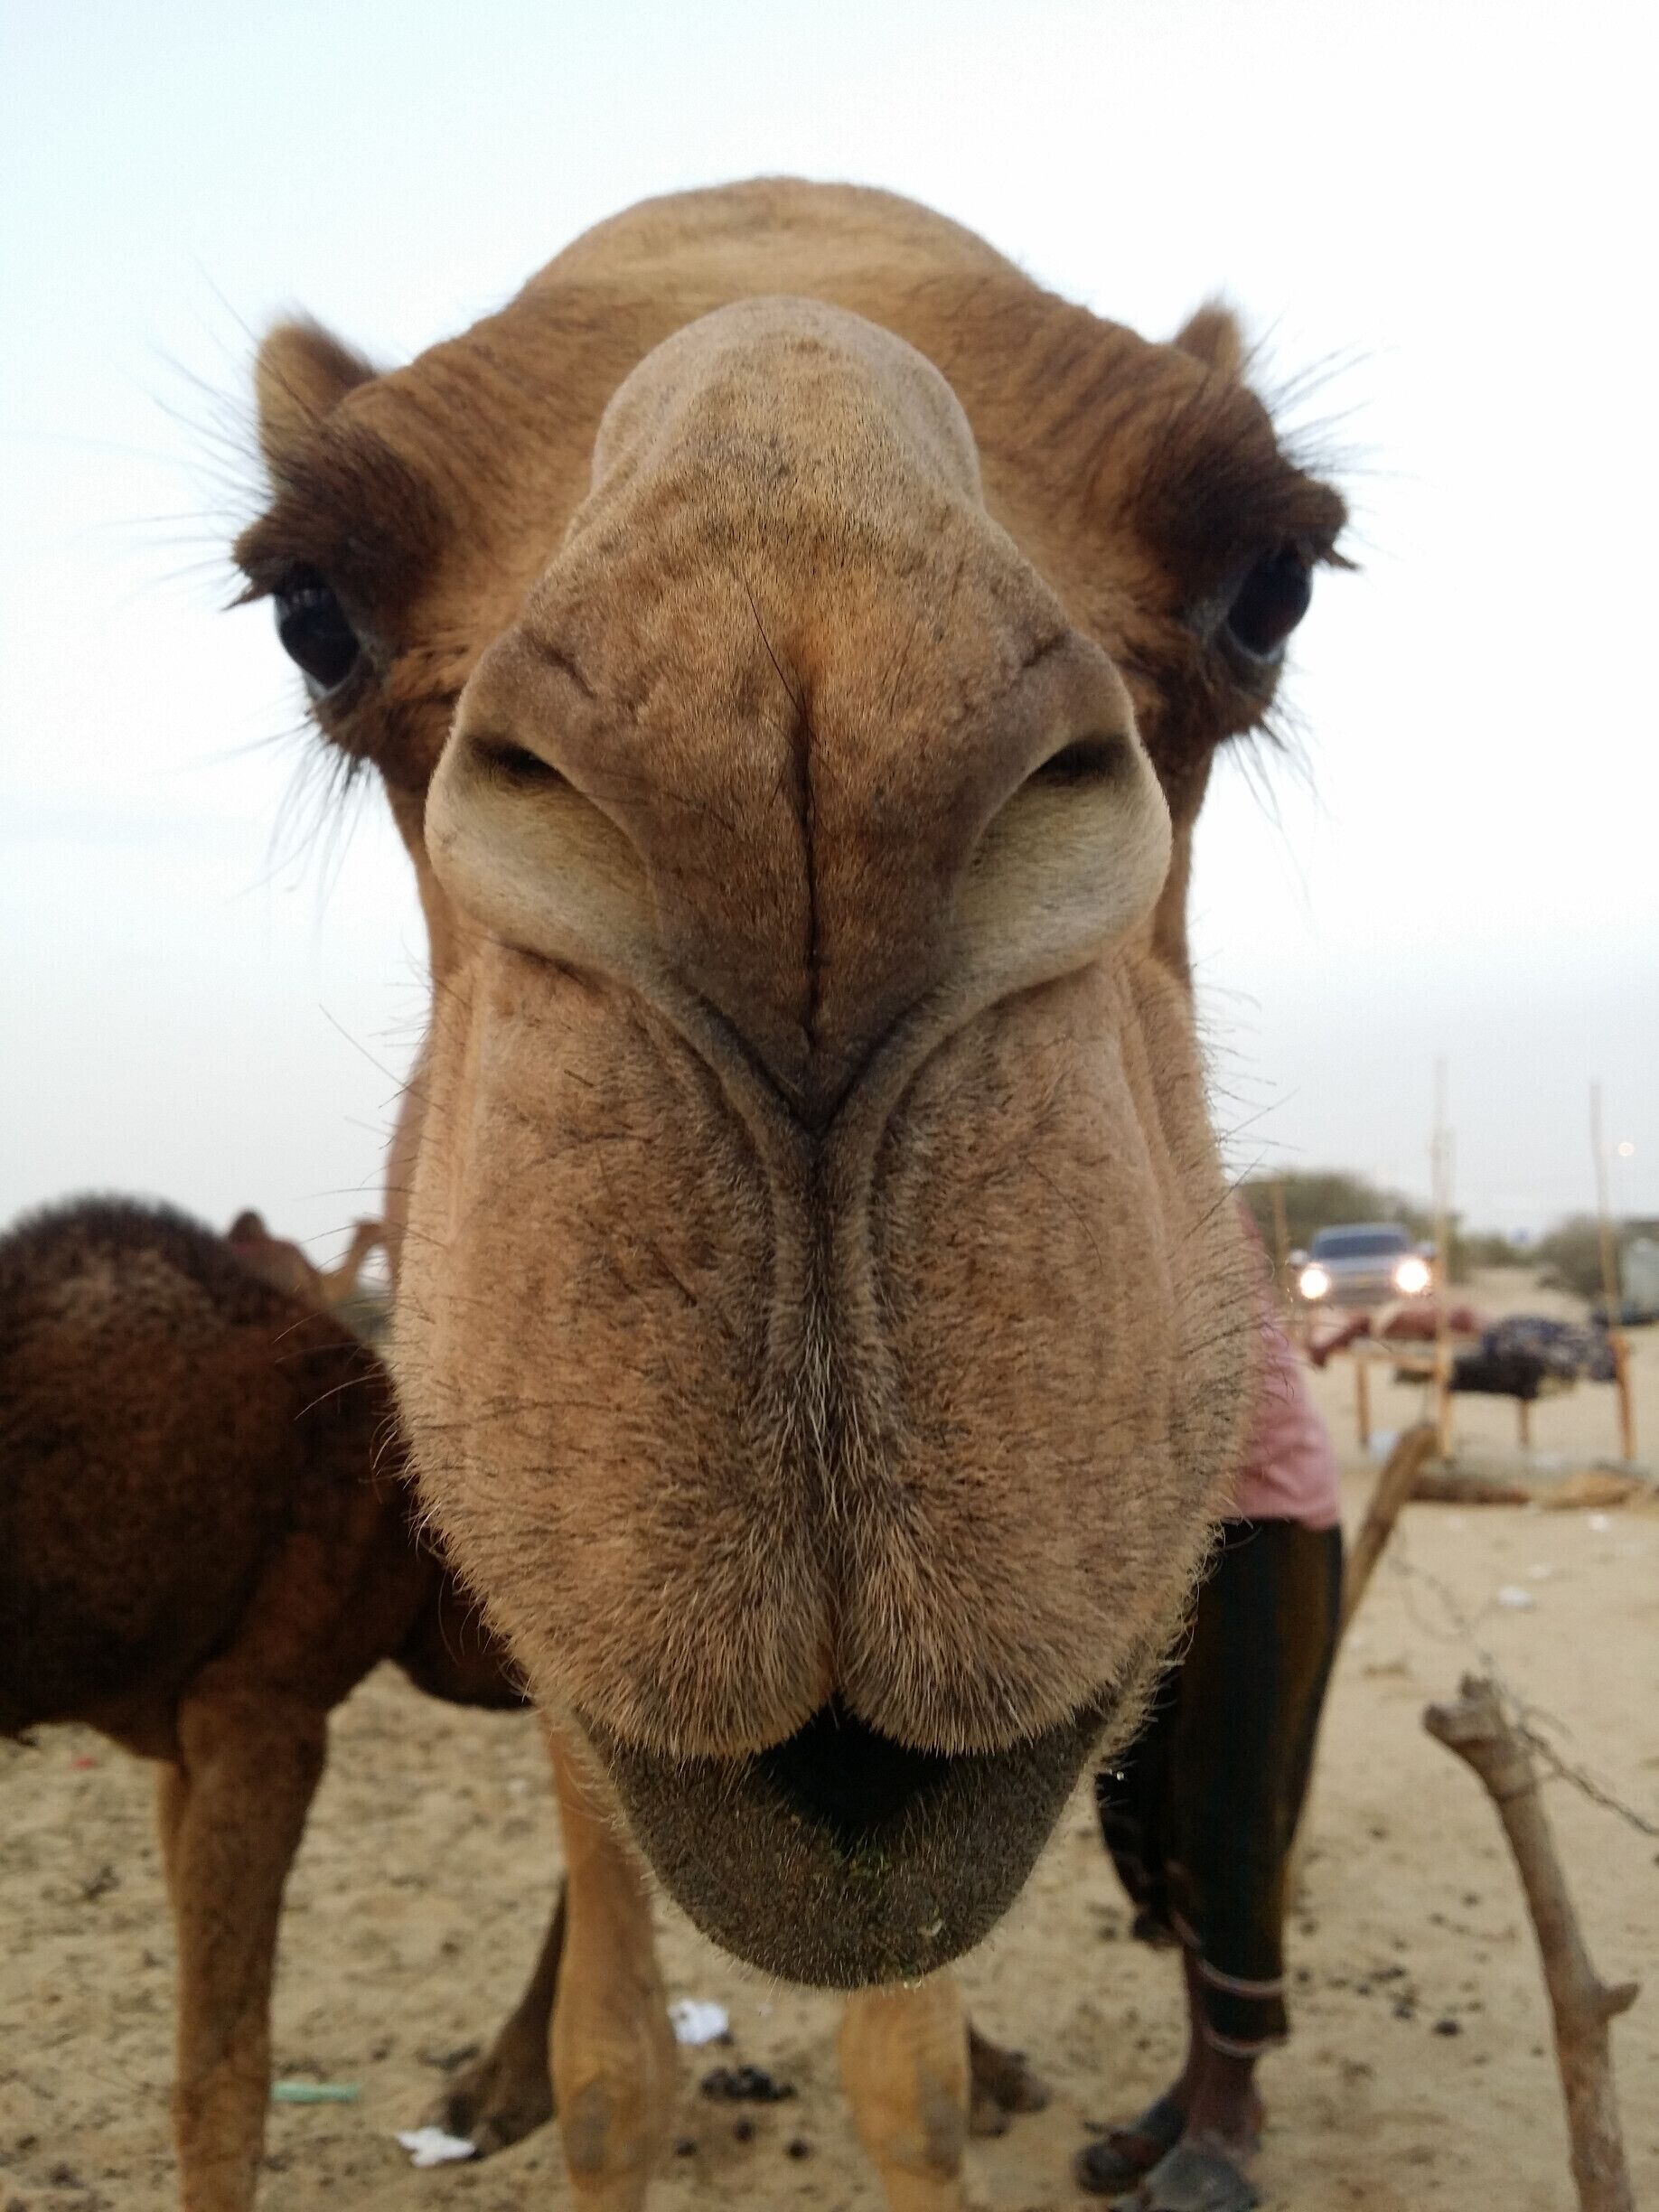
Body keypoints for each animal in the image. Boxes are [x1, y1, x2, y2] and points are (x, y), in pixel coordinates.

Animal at [240, 178, 1345, 2207]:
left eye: (1273, 583)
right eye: (310, 610)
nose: (804, 793)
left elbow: (901, 2072)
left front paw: (955, 2071)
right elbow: (614, 2063)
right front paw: (551, 2078)